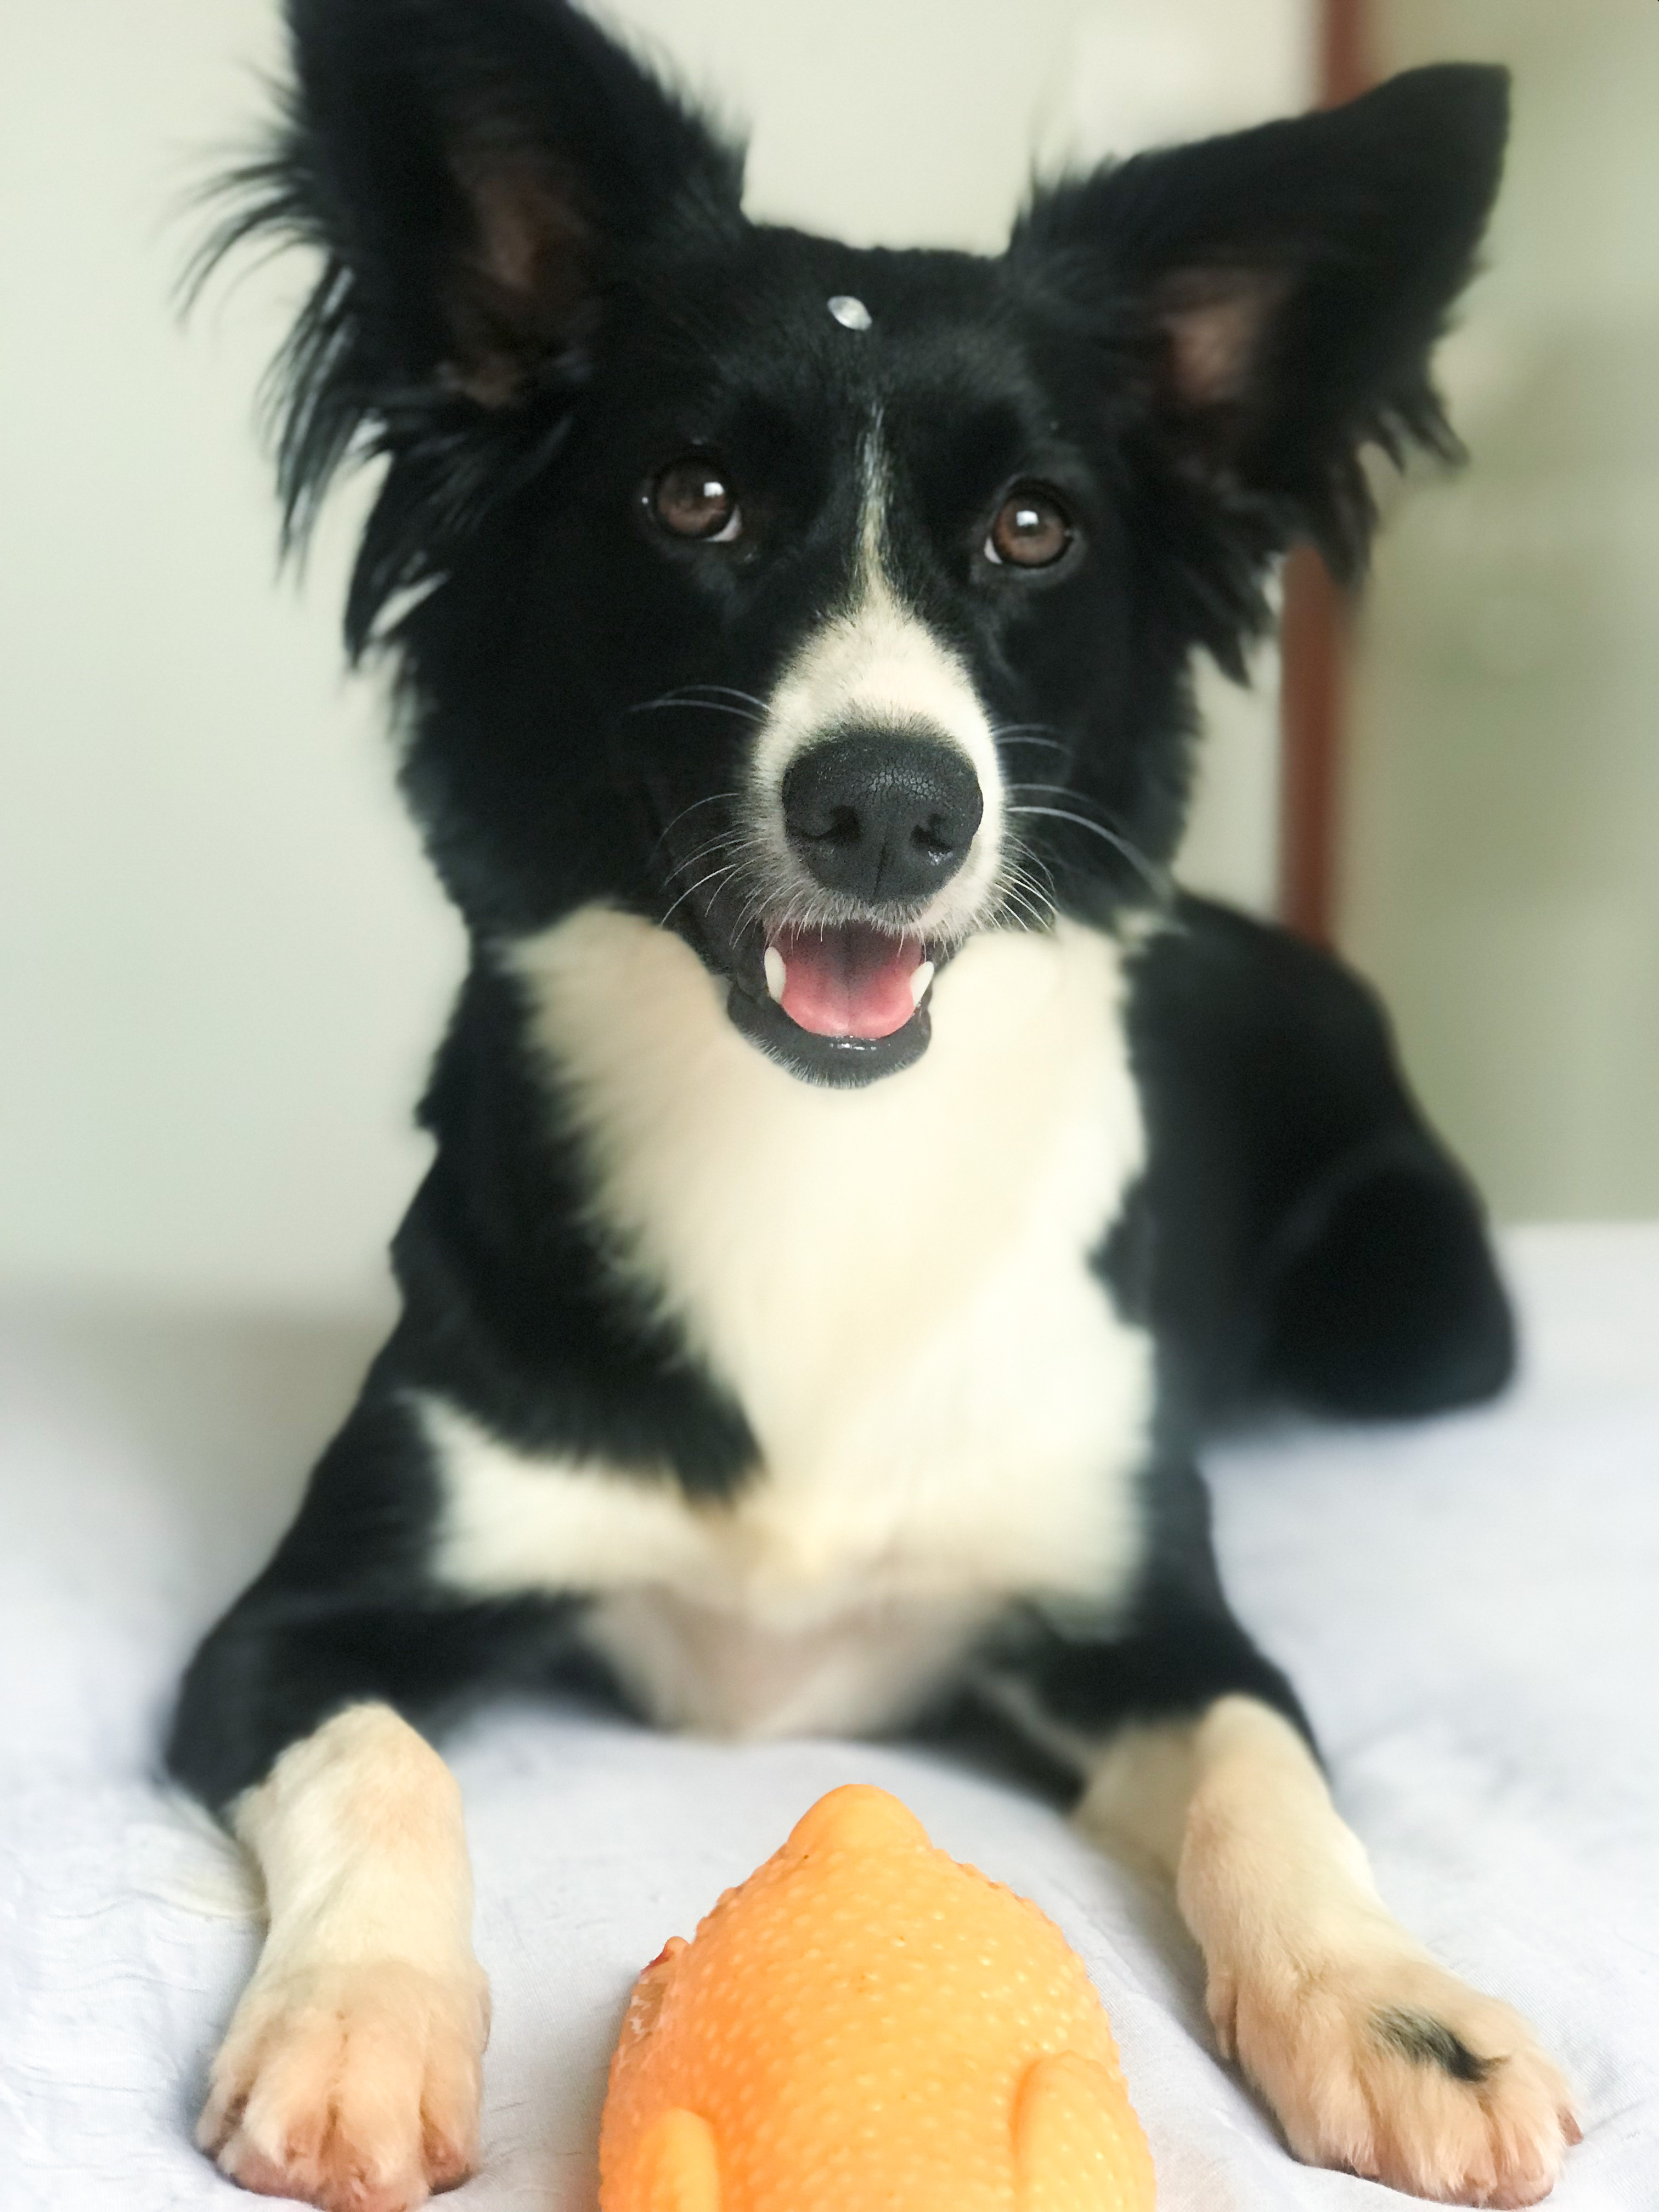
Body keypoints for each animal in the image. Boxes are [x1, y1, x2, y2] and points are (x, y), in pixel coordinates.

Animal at [168, 3, 1578, 2204]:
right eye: (691, 497)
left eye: (1034, 528)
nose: (893, 809)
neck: (811, 1154)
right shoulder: (296, 1621)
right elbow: (379, 1763)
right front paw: (356, 2018)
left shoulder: (1145, 1609)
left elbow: (1270, 1773)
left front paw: (1399, 2009)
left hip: (1415, 1318)